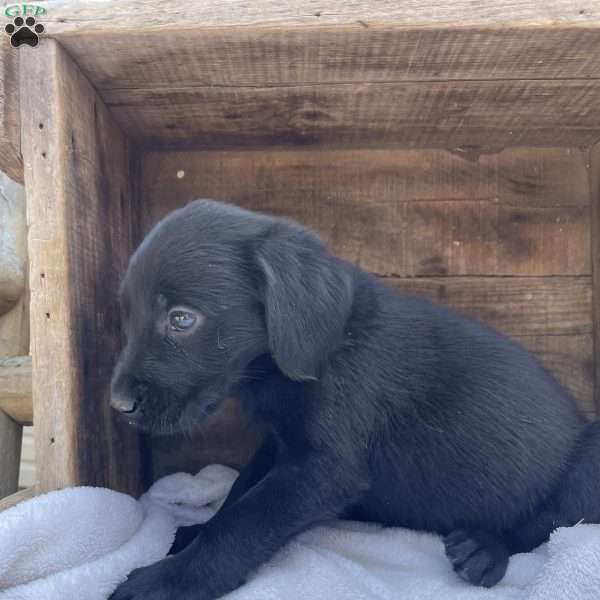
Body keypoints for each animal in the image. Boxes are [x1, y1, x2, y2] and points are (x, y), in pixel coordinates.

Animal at [109, 199, 600, 596]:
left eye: (182, 319)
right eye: (127, 317)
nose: (118, 405)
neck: (319, 348)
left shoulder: (322, 469)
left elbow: (241, 524)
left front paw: (169, 580)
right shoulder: (279, 444)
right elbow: (237, 495)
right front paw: (189, 534)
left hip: (586, 463)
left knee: (547, 525)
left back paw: (484, 549)